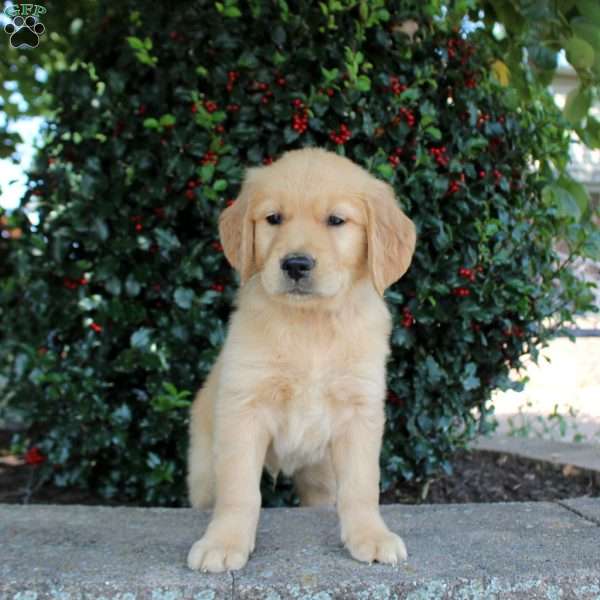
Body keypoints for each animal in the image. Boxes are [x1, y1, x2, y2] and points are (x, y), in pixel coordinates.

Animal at [188, 145, 418, 572]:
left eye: (336, 220)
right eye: (274, 218)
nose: (296, 264)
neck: (311, 324)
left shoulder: (360, 411)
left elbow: (362, 485)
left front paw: (371, 536)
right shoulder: (243, 410)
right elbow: (239, 490)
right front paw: (224, 541)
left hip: (321, 475)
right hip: (203, 467)